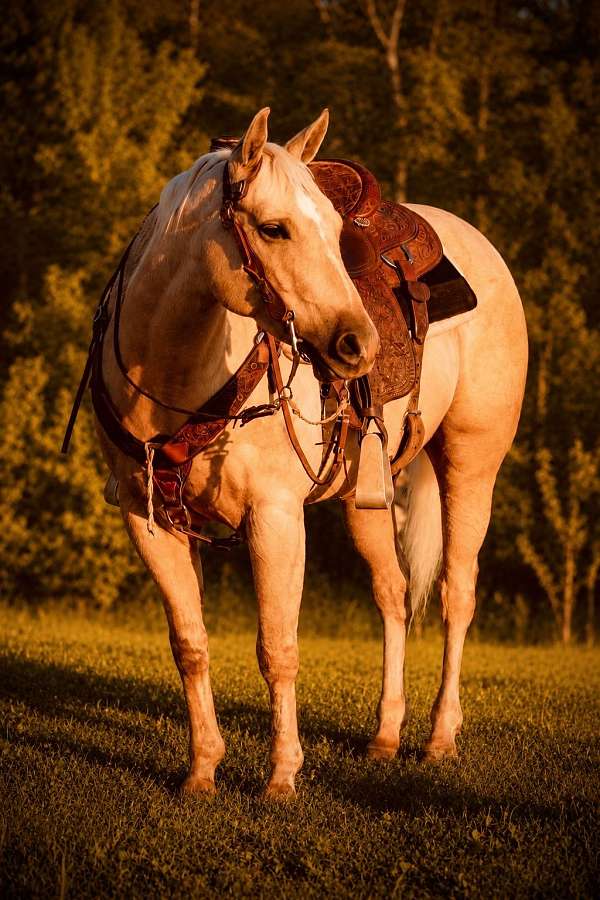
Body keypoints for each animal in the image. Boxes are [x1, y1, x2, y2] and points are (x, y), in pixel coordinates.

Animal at [92, 108, 527, 797]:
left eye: (332, 228)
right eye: (274, 228)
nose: (359, 345)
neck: (175, 373)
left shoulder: (274, 516)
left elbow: (278, 648)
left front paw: (281, 776)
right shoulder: (147, 519)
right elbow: (190, 643)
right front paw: (202, 769)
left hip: (471, 466)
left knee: (456, 593)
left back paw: (438, 739)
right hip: (366, 496)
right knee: (393, 593)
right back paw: (385, 736)